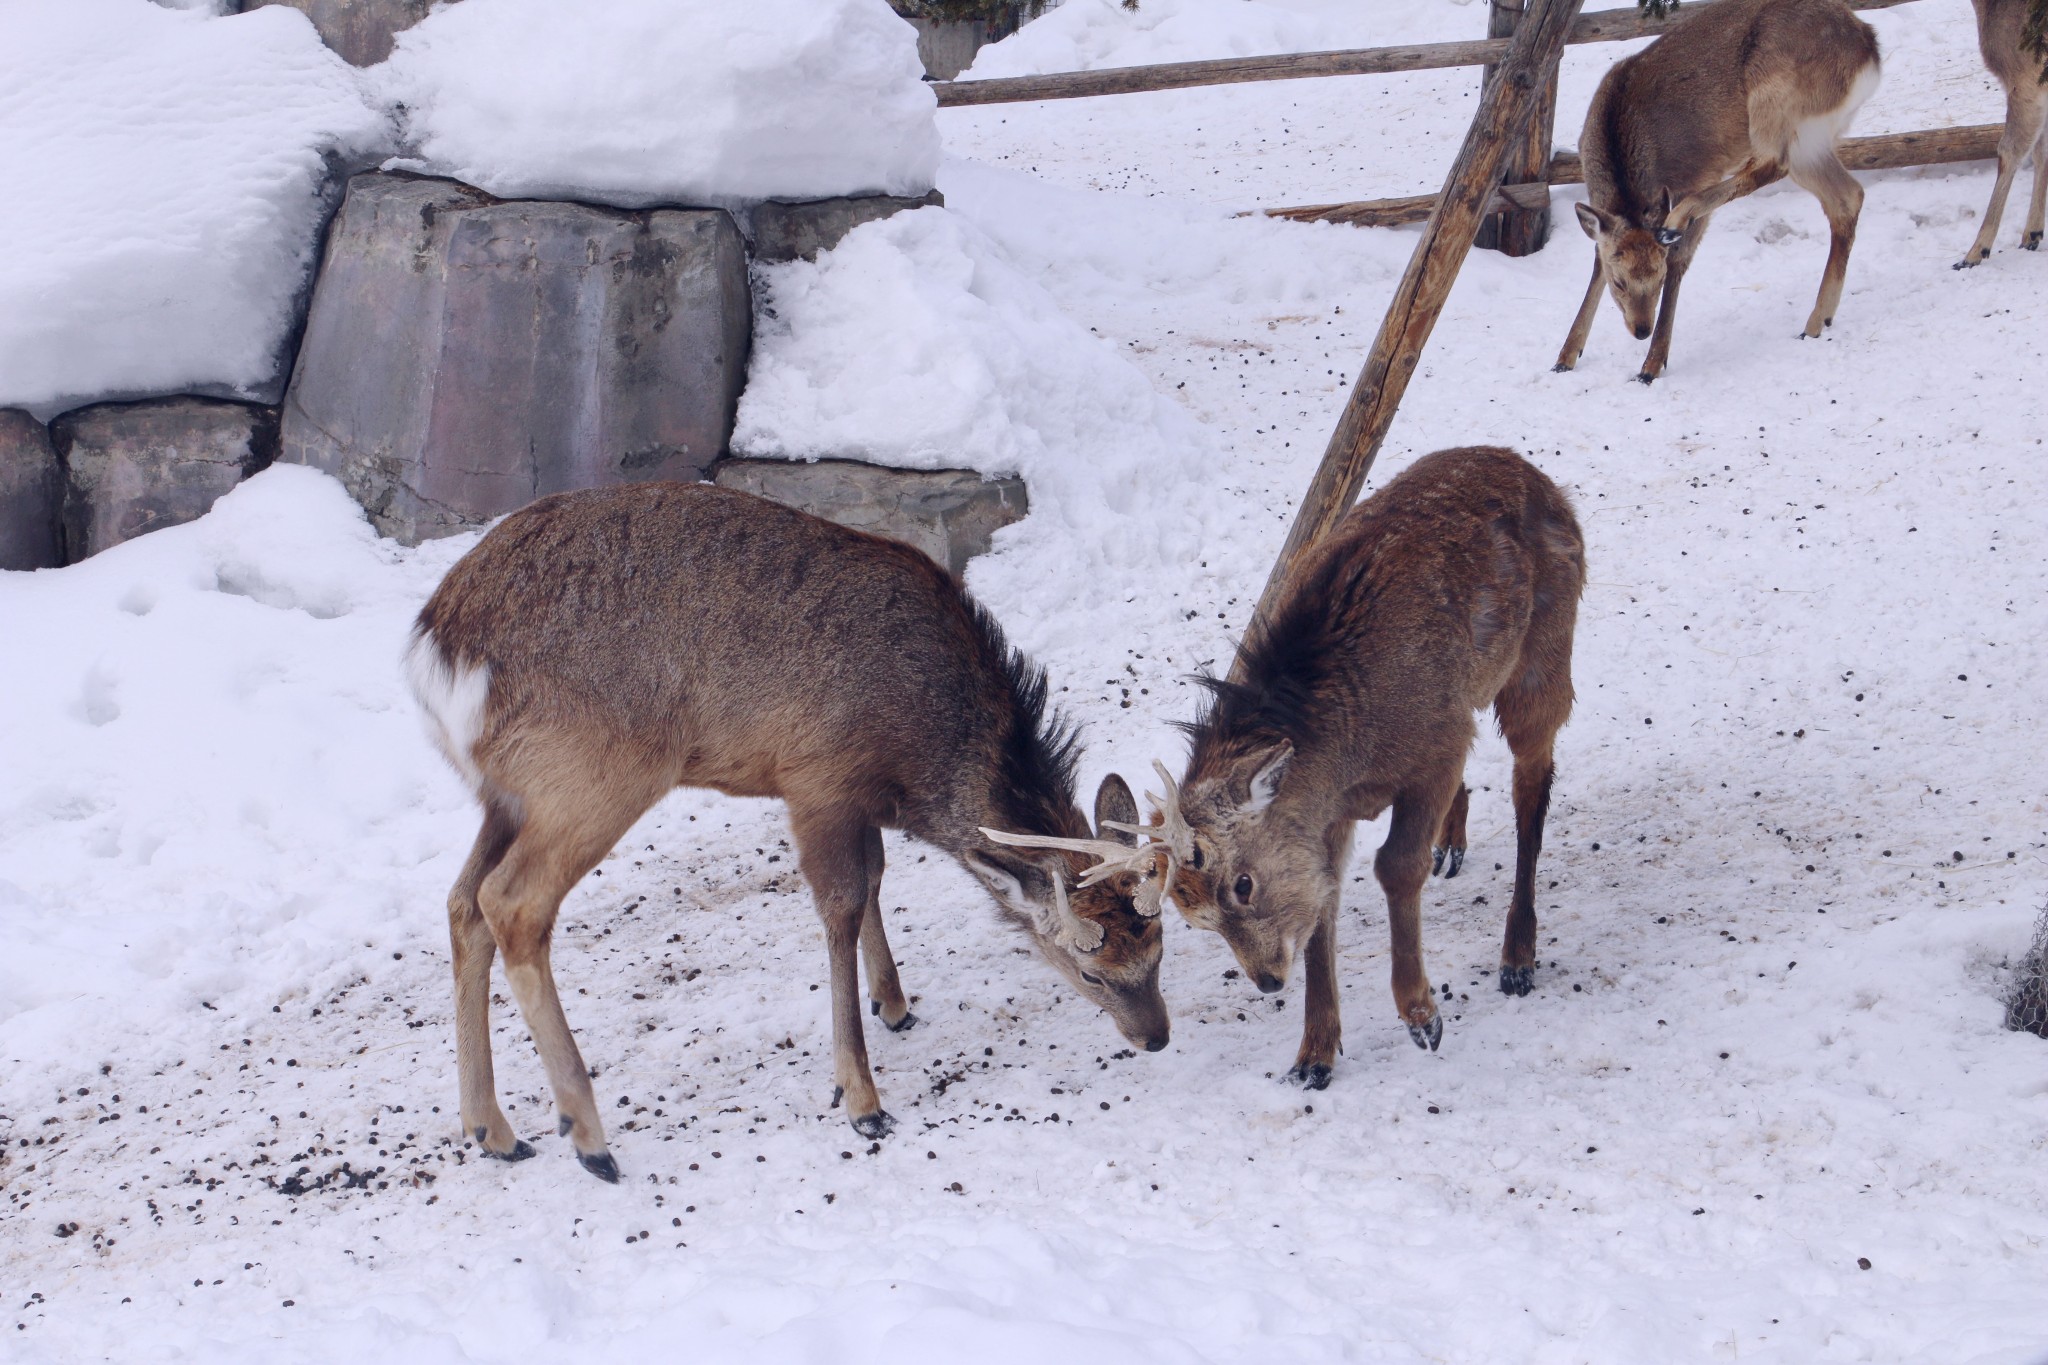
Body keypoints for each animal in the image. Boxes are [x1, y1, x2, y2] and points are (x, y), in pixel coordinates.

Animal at [403, 480, 1171, 1178]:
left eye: (1159, 950)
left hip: (508, 793)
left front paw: (894, 1003)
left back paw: (492, 1129)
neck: (918, 749)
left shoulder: (855, 799)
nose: (1157, 1037)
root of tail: (437, 650)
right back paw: (588, 1137)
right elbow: (842, 903)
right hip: (592, 773)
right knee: (511, 902)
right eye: (1090, 970)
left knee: (462, 902)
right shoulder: (817, 776)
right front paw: (862, 1097)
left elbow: (875, 877)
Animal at [1556, 0, 1875, 382]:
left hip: (1775, 92)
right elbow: (1596, 262)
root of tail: (1870, 49)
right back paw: (1817, 321)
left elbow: (1679, 259)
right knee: (1847, 196)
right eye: (1620, 283)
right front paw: (1564, 357)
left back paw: (1675, 224)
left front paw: (1652, 364)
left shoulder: (1702, 173)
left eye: (1657, 279)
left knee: (1772, 163)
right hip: (1810, 138)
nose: (1641, 330)